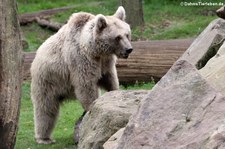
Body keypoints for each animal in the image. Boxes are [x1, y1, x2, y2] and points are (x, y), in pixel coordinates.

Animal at [30, 6, 133, 144]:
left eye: (127, 34)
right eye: (117, 37)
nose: (129, 49)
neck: (95, 50)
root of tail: (37, 53)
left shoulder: (106, 63)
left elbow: (110, 80)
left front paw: (114, 94)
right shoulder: (81, 60)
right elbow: (86, 87)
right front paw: (92, 110)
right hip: (47, 79)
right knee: (46, 108)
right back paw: (44, 138)